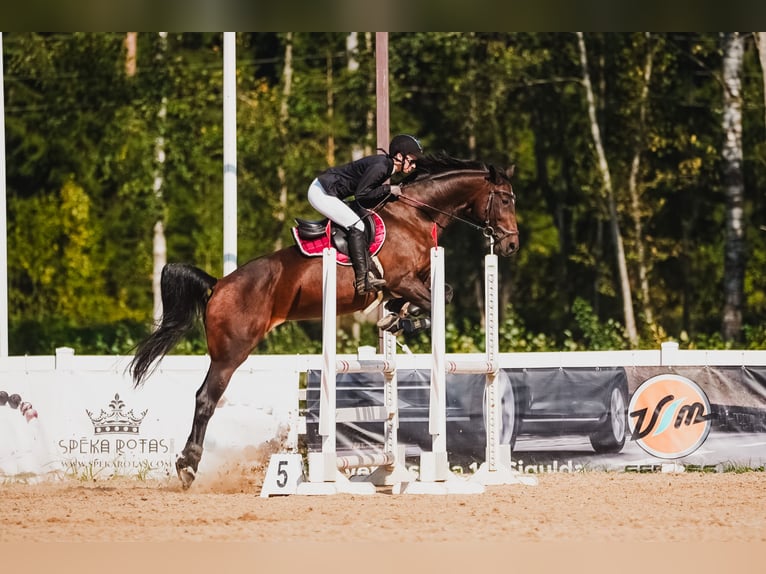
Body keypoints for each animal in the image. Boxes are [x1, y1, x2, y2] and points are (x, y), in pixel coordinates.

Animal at [129, 153, 519, 489]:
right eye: (504, 200)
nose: (511, 246)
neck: (416, 216)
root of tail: (219, 285)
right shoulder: (402, 279)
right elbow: (434, 300)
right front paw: (402, 321)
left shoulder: (412, 281)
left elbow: (438, 294)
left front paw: (395, 319)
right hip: (231, 352)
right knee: (205, 399)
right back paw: (188, 466)